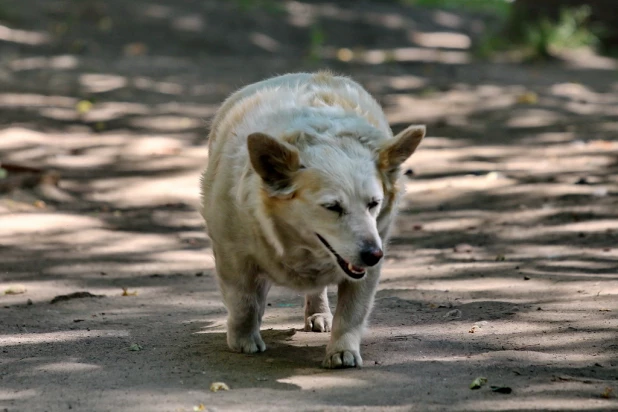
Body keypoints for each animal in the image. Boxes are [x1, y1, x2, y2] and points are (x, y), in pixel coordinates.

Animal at [200, 71, 422, 366]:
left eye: (373, 204)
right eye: (333, 207)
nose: (374, 255)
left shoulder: (368, 267)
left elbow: (352, 312)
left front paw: (342, 350)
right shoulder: (232, 255)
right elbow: (244, 301)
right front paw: (243, 338)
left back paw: (319, 313)